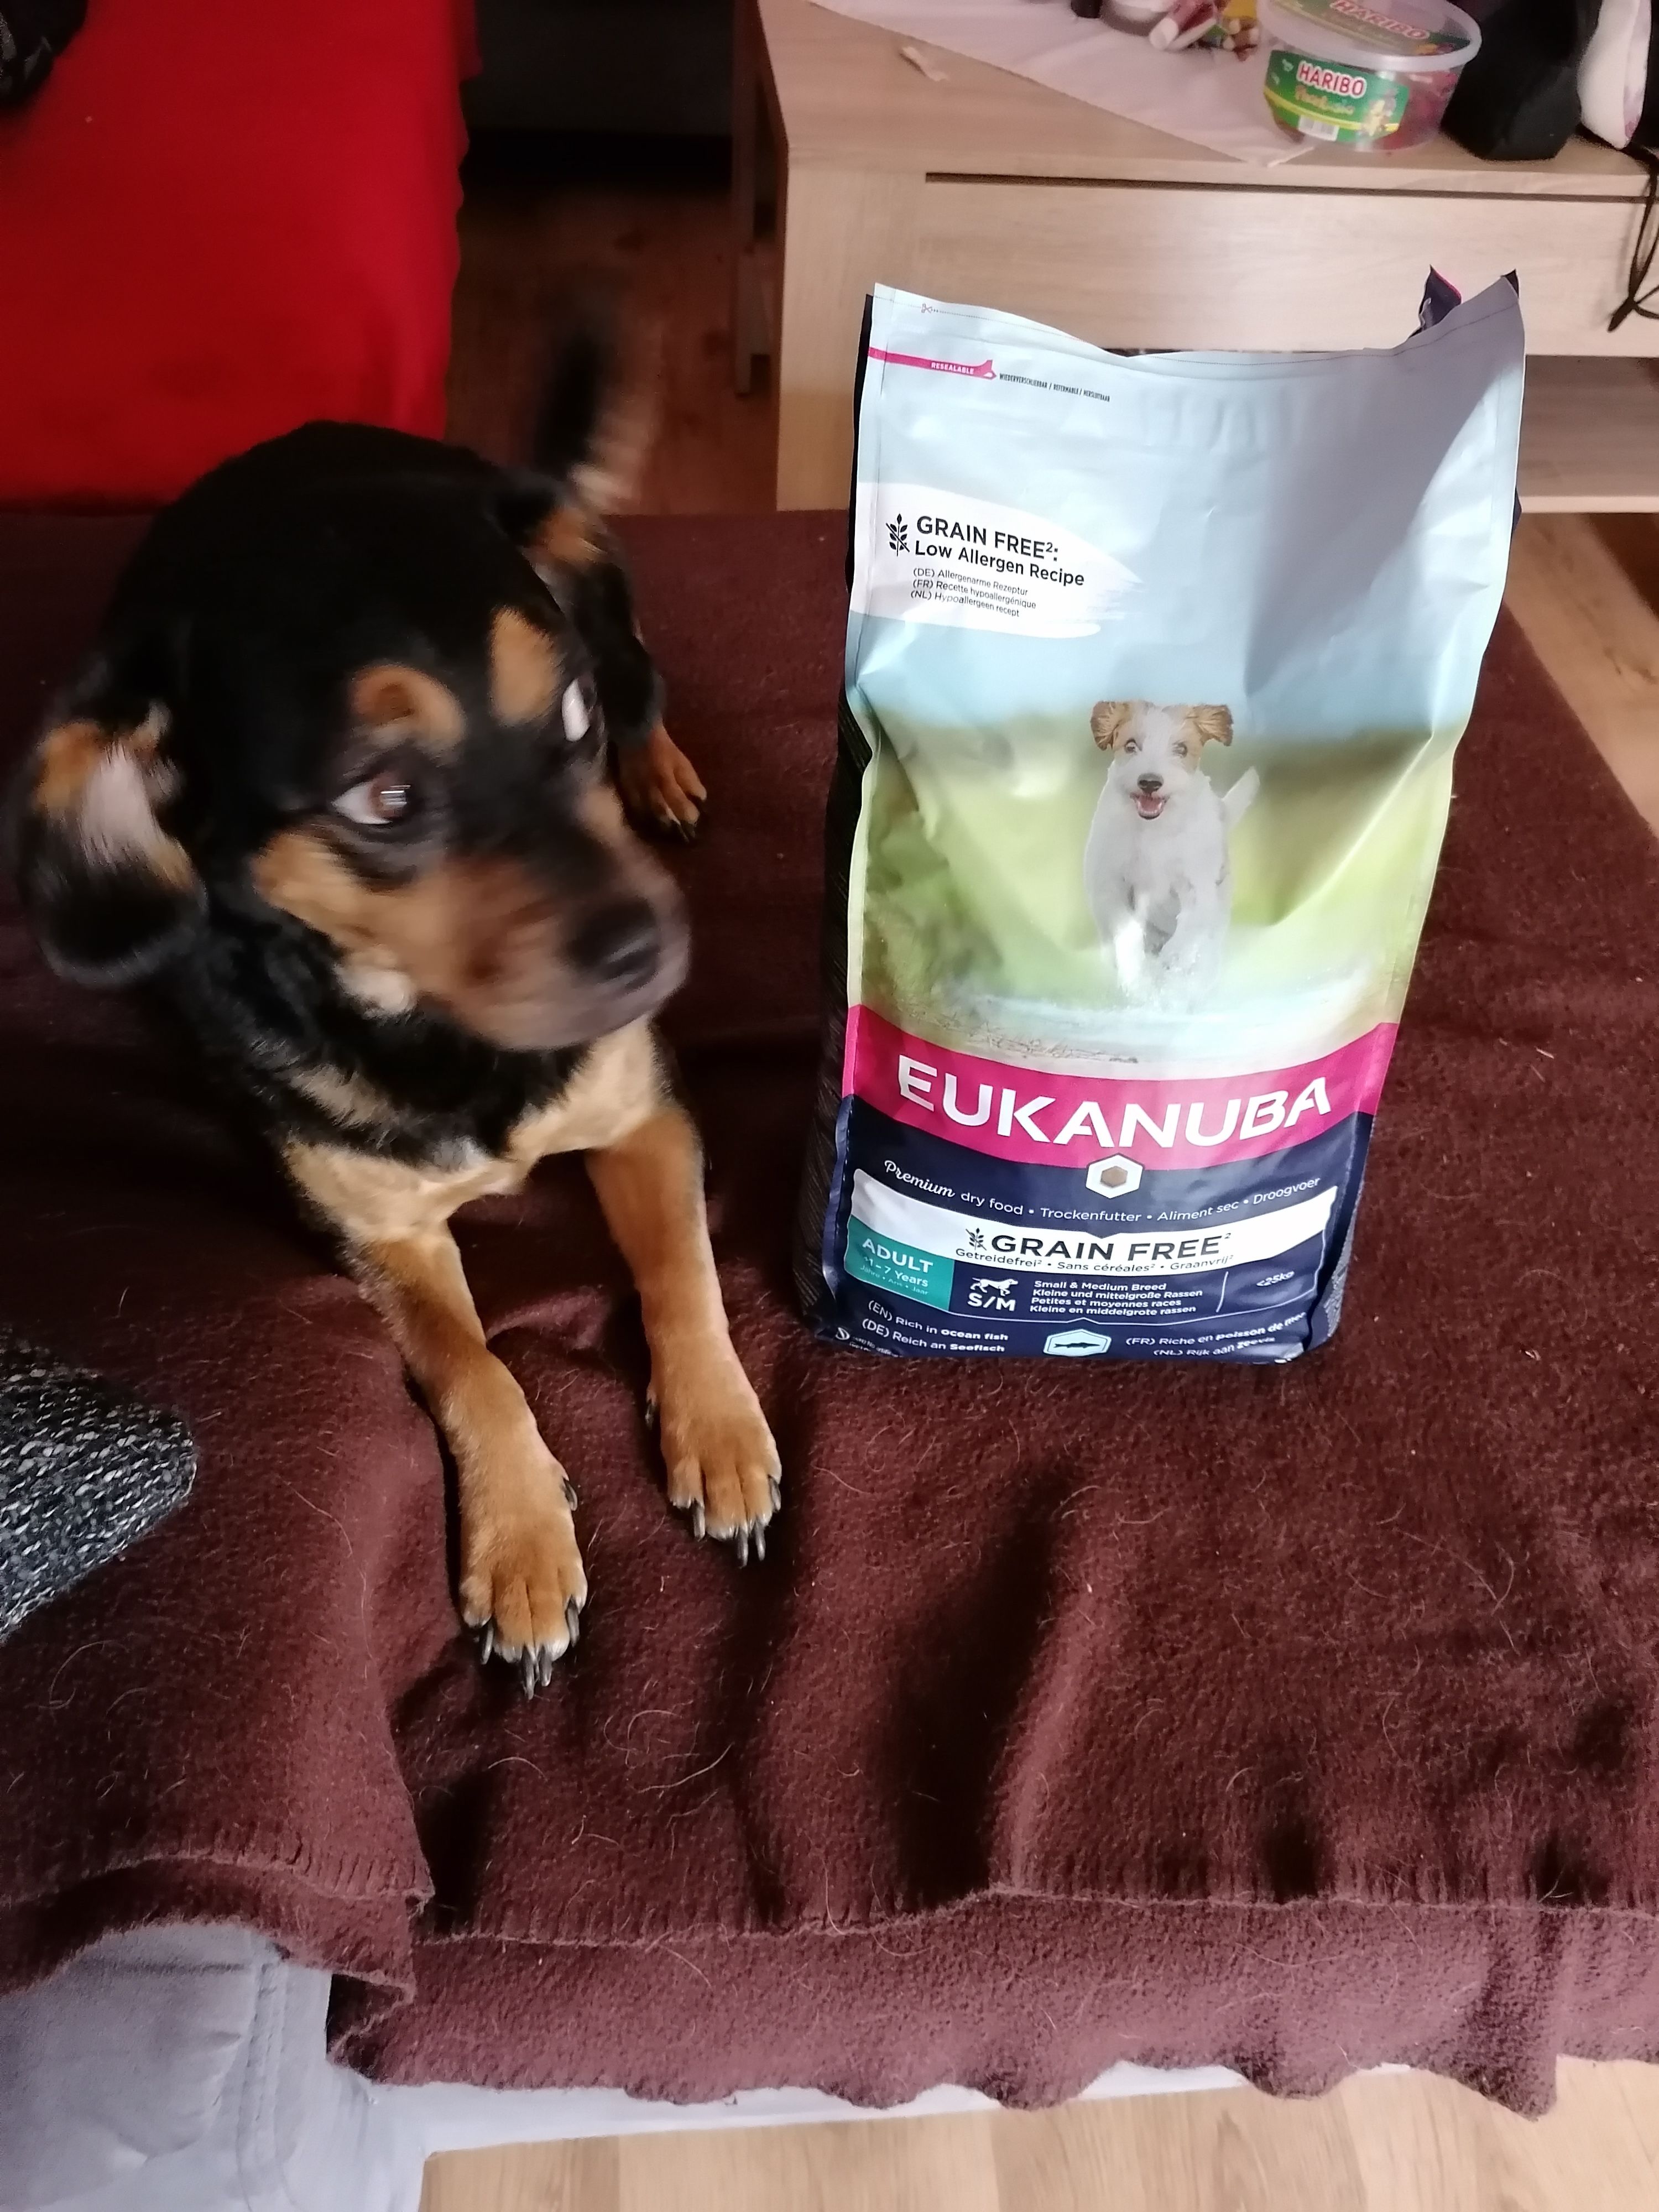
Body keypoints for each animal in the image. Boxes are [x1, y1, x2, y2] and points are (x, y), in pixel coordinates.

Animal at [11, 331, 779, 1693]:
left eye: (568, 716)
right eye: (382, 797)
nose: (652, 951)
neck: (454, 1038)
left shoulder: (645, 1118)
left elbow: (684, 1266)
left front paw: (722, 1430)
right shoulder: (381, 1240)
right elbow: (475, 1366)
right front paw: (521, 1547)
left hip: (613, 606)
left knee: (652, 683)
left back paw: (662, 773)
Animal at [1083, 701, 1258, 1004]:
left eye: (1182, 749)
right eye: (1131, 746)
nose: (1150, 782)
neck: (1155, 831)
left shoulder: (1197, 886)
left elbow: (1190, 928)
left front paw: (1175, 959)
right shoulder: (1111, 884)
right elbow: (1127, 930)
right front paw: (1138, 979)